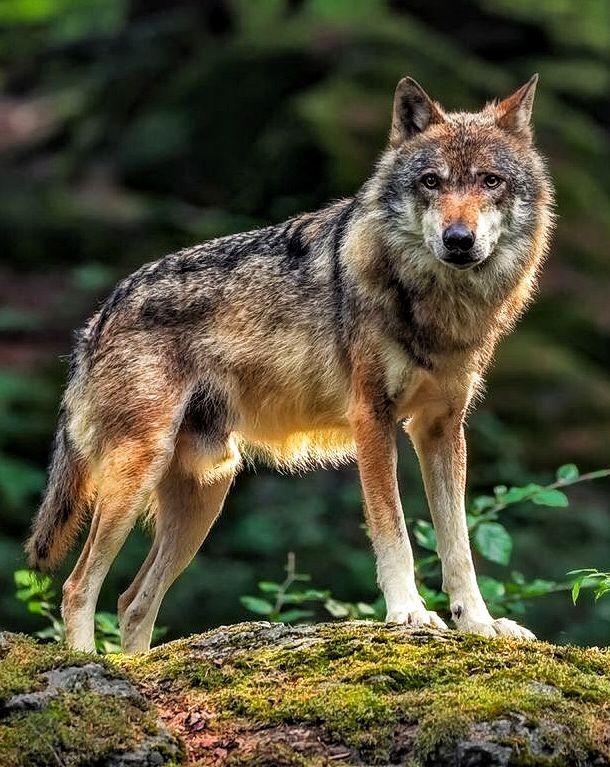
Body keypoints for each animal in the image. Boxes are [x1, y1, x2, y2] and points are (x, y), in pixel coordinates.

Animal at [26, 74, 553, 653]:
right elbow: (393, 530)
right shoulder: (373, 419)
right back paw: (90, 659)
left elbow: (458, 543)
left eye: (490, 181)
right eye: (432, 182)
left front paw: (479, 624)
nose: (458, 240)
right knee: (78, 587)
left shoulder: (440, 428)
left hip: (206, 493)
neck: (438, 306)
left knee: (131, 602)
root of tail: (96, 319)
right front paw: (409, 614)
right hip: (139, 470)